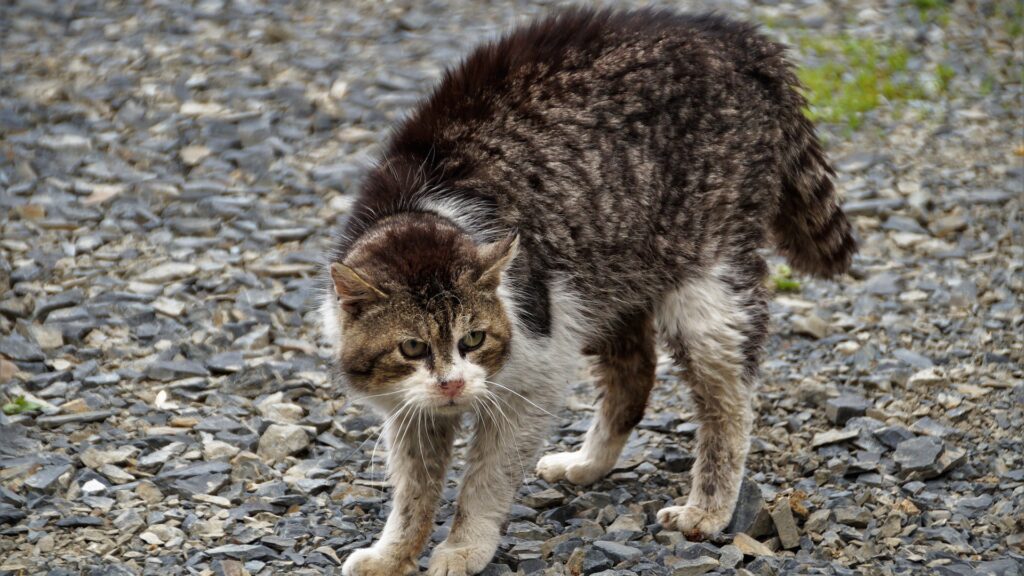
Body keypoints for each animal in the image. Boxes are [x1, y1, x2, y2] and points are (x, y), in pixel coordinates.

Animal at [319, 6, 856, 569]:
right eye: (412, 347)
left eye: (473, 339)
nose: (452, 385)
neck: (420, 210)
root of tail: (733, 36)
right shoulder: (410, 408)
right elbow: (414, 492)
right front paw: (395, 553)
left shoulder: (535, 374)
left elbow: (486, 480)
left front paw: (466, 545)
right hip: (605, 272)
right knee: (633, 375)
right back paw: (591, 461)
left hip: (705, 285)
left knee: (729, 401)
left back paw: (708, 508)